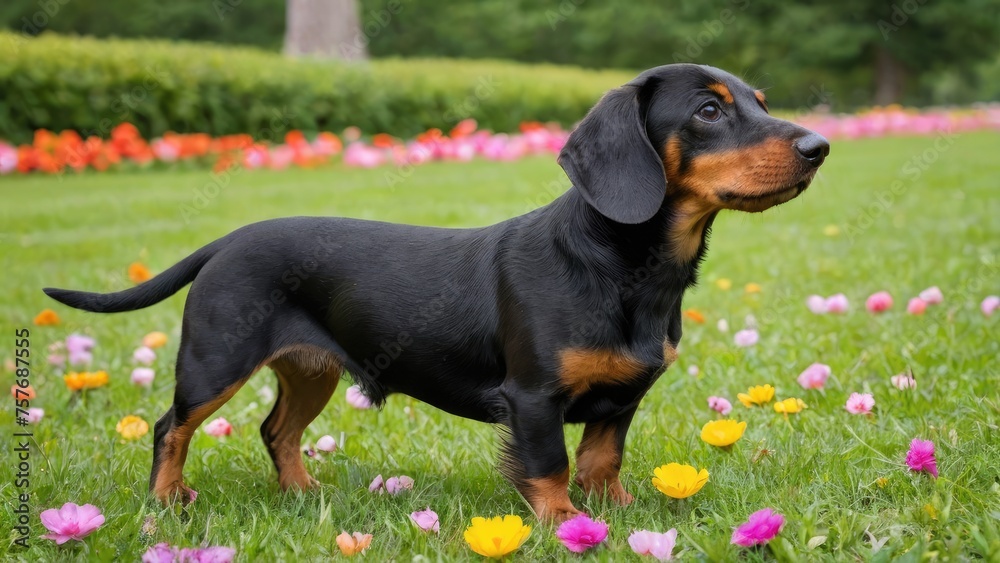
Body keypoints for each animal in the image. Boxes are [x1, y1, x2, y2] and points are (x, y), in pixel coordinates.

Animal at [45, 65, 828, 524]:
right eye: (708, 111)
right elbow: (551, 470)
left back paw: (303, 495)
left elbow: (602, 464)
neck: (624, 267)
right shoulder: (534, 398)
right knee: (170, 427)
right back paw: (164, 504)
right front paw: (564, 529)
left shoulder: (620, 399)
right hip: (216, 359)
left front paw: (619, 514)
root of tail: (226, 241)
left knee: (278, 431)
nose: (820, 147)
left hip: (310, 369)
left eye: (760, 102)